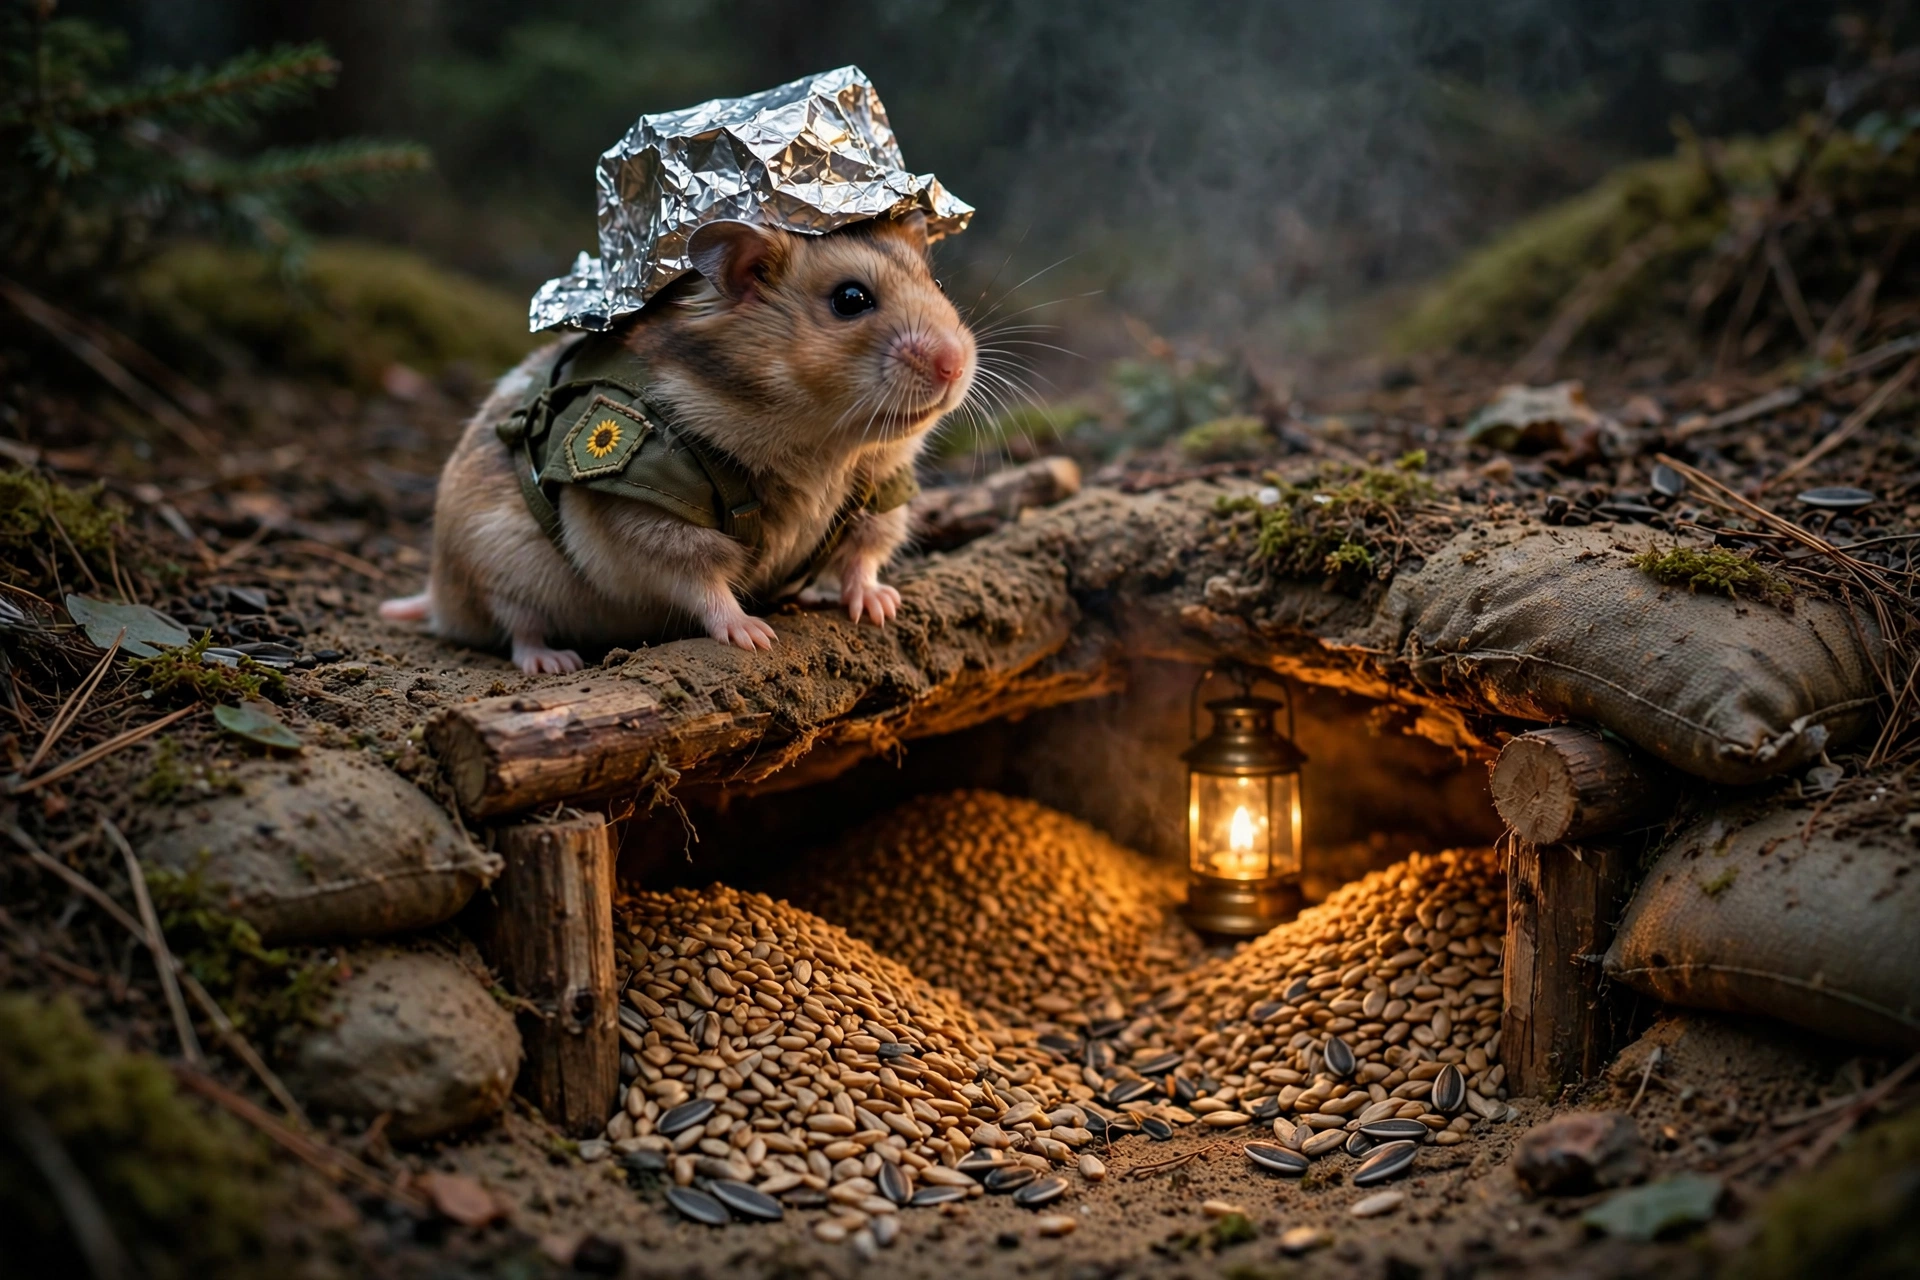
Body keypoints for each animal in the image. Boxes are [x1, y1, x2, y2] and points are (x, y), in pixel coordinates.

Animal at [379, 211, 977, 674]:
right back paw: (554, 660)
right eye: (851, 299)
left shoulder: (882, 492)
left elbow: (863, 555)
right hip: (498, 561)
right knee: (517, 626)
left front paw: (882, 606)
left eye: (939, 286)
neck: (823, 443)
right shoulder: (648, 517)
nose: (955, 365)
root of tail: (440, 593)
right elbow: (702, 582)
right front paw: (754, 636)